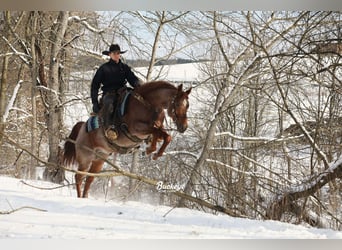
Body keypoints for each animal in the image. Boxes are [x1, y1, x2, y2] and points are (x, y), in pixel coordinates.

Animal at [62, 81, 191, 198]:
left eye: (187, 105)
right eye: (177, 104)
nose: (184, 127)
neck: (148, 105)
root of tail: (82, 127)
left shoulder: (154, 130)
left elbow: (163, 135)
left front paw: (152, 151)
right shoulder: (137, 129)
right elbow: (159, 133)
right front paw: (153, 151)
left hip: (99, 160)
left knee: (89, 179)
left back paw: (85, 197)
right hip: (85, 158)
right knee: (79, 177)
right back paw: (79, 197)